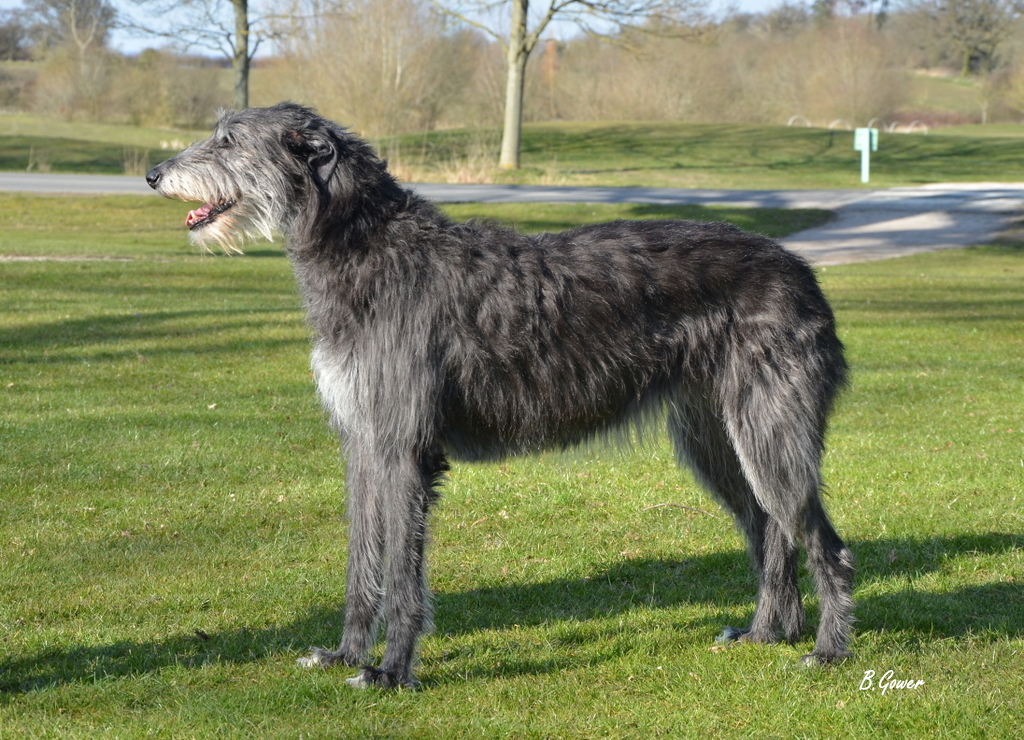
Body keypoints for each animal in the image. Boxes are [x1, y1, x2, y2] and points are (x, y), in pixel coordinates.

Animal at [148, 102, 851, 687]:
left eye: (229, 139)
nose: (154, 174)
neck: (366, 246)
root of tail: (803, 271)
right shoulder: (364, 443)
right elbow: (362, 559)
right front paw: (346, 654)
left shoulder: (404, 448)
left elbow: (402, 573)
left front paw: (391, 672)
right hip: (715, 435)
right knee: (770, 528)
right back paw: (767, 633)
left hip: (771, 426)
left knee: (823, 541)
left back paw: (827, 650)